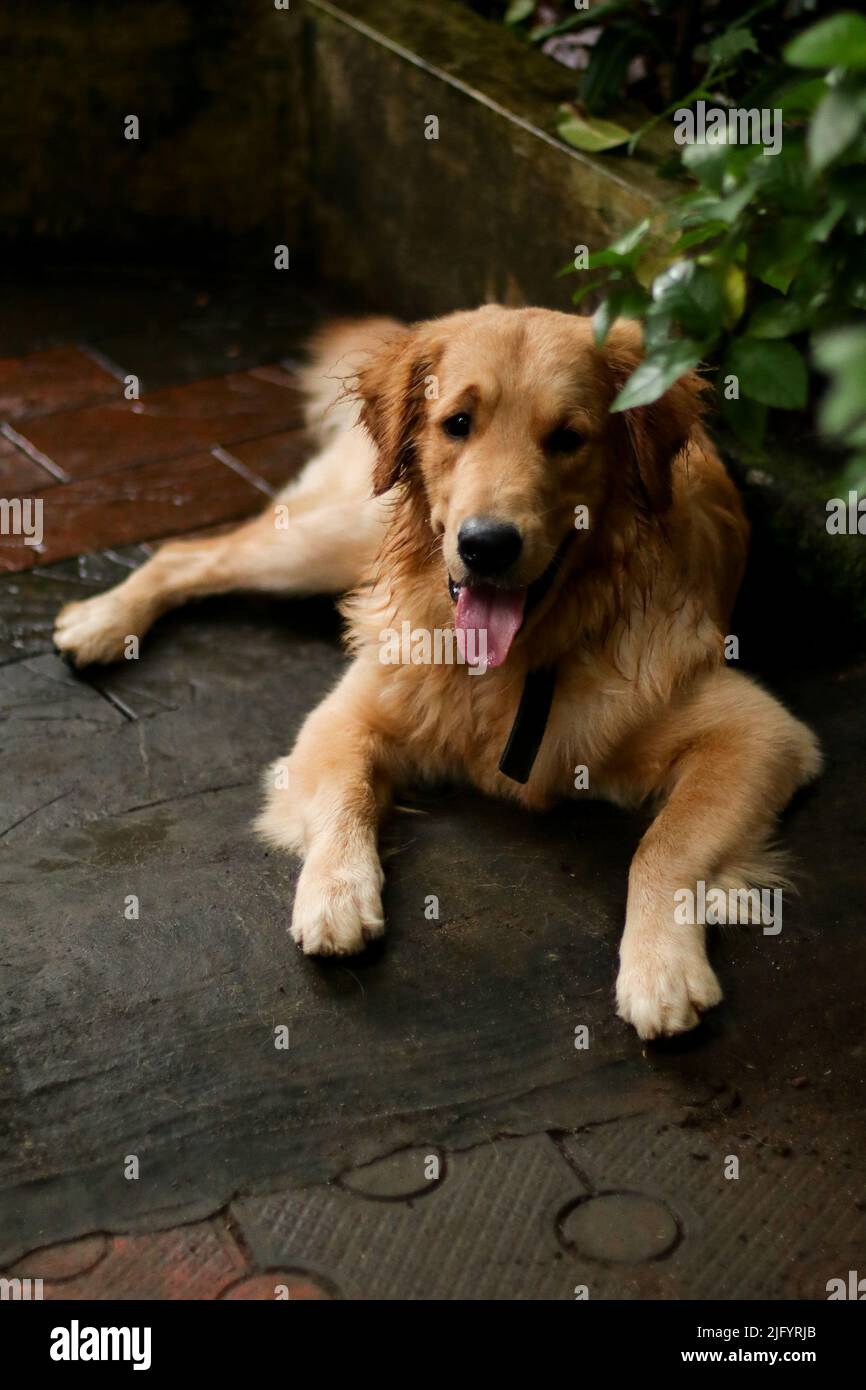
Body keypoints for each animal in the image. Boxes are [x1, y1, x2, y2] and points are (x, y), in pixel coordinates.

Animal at [50, 309, 822, 1039]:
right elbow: (347, 793)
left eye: (568, 437)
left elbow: (662, 845)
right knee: (188, 553)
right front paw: (336, 892)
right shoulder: (350, 709)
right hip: (327, 538)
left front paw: (660, 969)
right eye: (457, 423)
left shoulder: (761, 734)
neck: (519, 659)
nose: (486, 546)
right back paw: (101, 621)